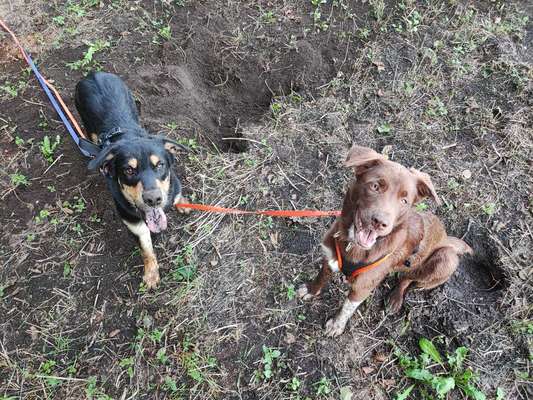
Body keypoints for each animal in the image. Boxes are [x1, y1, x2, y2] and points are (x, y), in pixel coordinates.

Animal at [76, 72, 188, 290]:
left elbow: (178, 195)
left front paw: (184, 204)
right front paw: (151, 274)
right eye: (128, 170)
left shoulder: (175, 186)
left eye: (159, 165)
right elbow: (146, 249)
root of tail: (93, 74)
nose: (153, 199)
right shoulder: (133, 221)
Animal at [298, 145, 472, 336]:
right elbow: (321, 277)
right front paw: (311, 290)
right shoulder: (329, 257)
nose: (380, 222)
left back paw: (395, 298)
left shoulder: (362, 287)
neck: (352, 245)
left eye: (404, 200)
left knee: (408, 278)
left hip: (446, 259)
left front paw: (337, 325)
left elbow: (347, 308)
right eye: (375, 186)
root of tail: (447, 237)